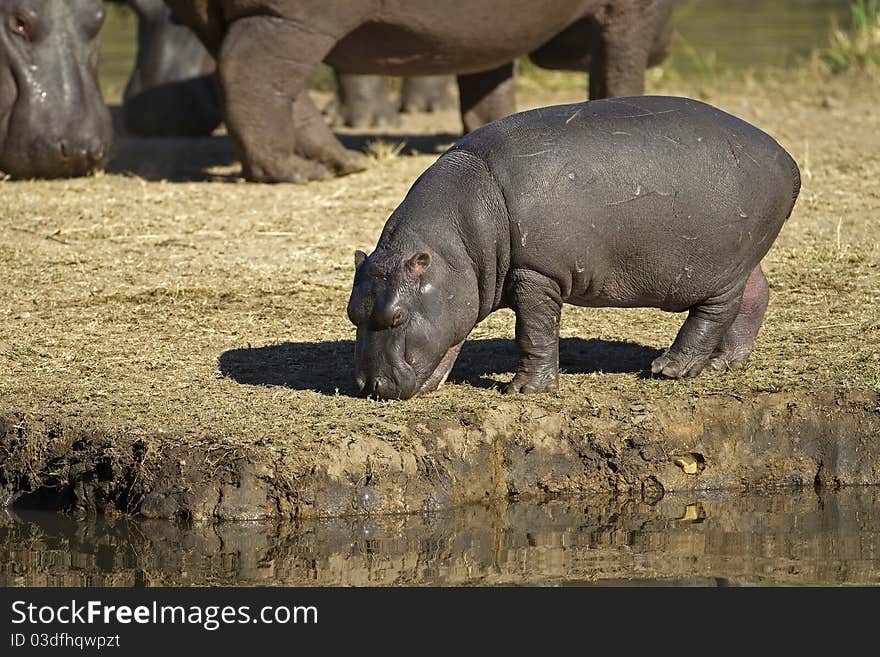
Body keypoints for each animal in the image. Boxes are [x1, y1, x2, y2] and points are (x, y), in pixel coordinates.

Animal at [163, 0, 672, 182]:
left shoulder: (487, 36)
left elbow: (487, 90)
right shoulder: (632, 10)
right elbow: (619, 69)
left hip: (218, 17)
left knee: (275, 87)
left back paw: (341, 163)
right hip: (290, 20)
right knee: (250, 71)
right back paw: (293, 172)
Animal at [348, 95, 800, 398]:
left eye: (397, 316)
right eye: (352, 313)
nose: (371, 386)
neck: (456, 247)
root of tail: (788, 160)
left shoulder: (535, 273)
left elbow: (534, 332)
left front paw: (524, 391)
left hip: (719, 267)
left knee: (714, 312)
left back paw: (670, 369)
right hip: (744, 257)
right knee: (756, 293)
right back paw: (725, 363)